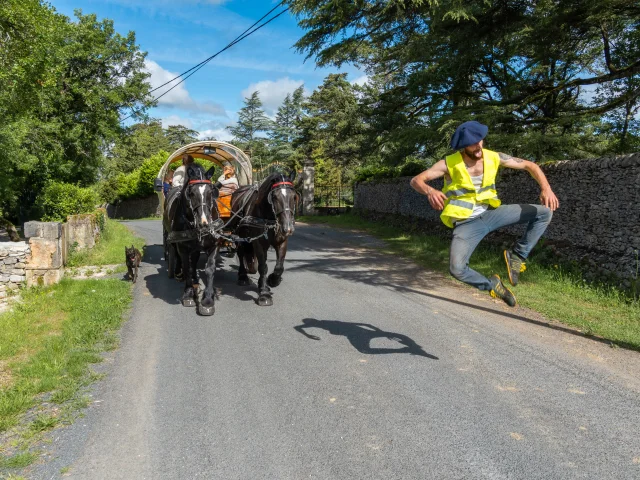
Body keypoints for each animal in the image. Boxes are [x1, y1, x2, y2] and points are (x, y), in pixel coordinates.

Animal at [162, 163, 222, 316]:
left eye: (211, 192)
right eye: (191, 193)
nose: (204, 223)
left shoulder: (214, 244)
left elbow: (210, 268)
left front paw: (208, 299)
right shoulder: (182, 246)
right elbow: (186, 266)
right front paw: (188, 294)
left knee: (194, 259)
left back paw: (195, 278)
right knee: (179, 258)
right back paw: (178, 273)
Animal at [230, 173, 300, 308]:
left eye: (294, 197)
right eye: (275, 197)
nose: (288, 228)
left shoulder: (282, 241)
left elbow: (279, 266)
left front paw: (273, 280)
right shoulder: (258, 243)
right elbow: (263, 266)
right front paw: (264, 294)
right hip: (239, 237)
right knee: (241, 254)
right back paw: (243, 277)